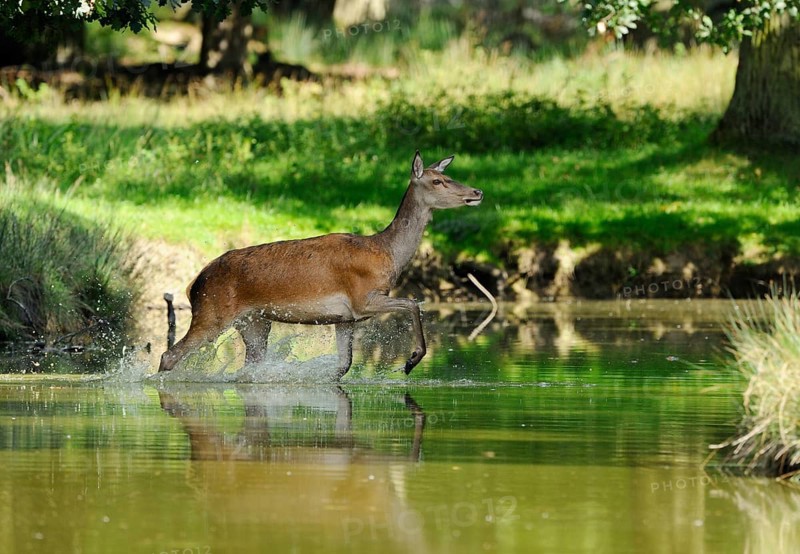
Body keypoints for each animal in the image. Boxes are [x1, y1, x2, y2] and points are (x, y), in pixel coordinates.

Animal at [158, 150, 483, 378]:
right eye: (437, 181)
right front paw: (411, 360)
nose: (477, 192)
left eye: (449, 176)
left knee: (249, 366)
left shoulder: (345, 319)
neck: (388, 254)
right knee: (168, 355)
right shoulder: (362, 299)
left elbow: (342, 367)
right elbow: (414, 303)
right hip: (212, 314)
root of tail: (193, 283)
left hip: (254, 322)